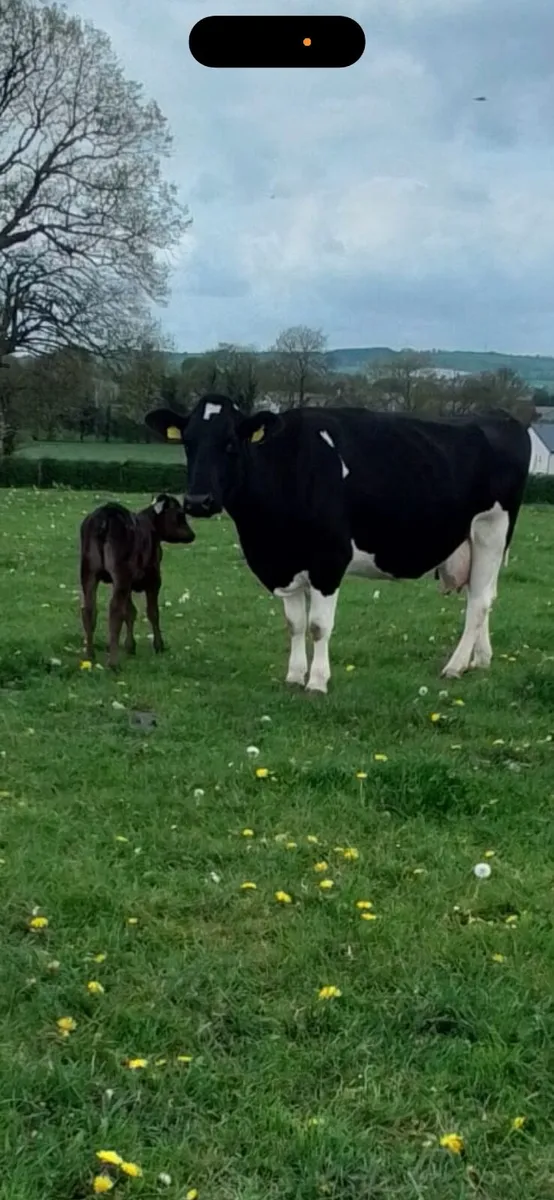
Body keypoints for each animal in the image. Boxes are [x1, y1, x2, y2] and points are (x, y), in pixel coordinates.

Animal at [80, 494, 195, 669]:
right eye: (180, 514)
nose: (192, 535)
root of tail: (105, 515)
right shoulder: (154, 579)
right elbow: (152, 612)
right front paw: (159, 645)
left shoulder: (128, 583)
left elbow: (131, 611)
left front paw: (130, 646)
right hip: (121, 574)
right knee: (115, 611)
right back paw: (113, 664)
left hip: (89, 573)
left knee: (89, 610)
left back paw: (90, 655)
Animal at [144, 396, 531, 694]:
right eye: (188, 443)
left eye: (230, 443)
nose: (198, 501)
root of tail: (500, 416)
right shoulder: (282, 564)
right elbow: (295, 624)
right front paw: (294, 676)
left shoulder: (329, 560)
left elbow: (318, 625)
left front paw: (317, 682)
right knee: (483, 595)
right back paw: (480, 660)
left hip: (491, 529)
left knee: (479, 602)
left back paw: (454, 666)